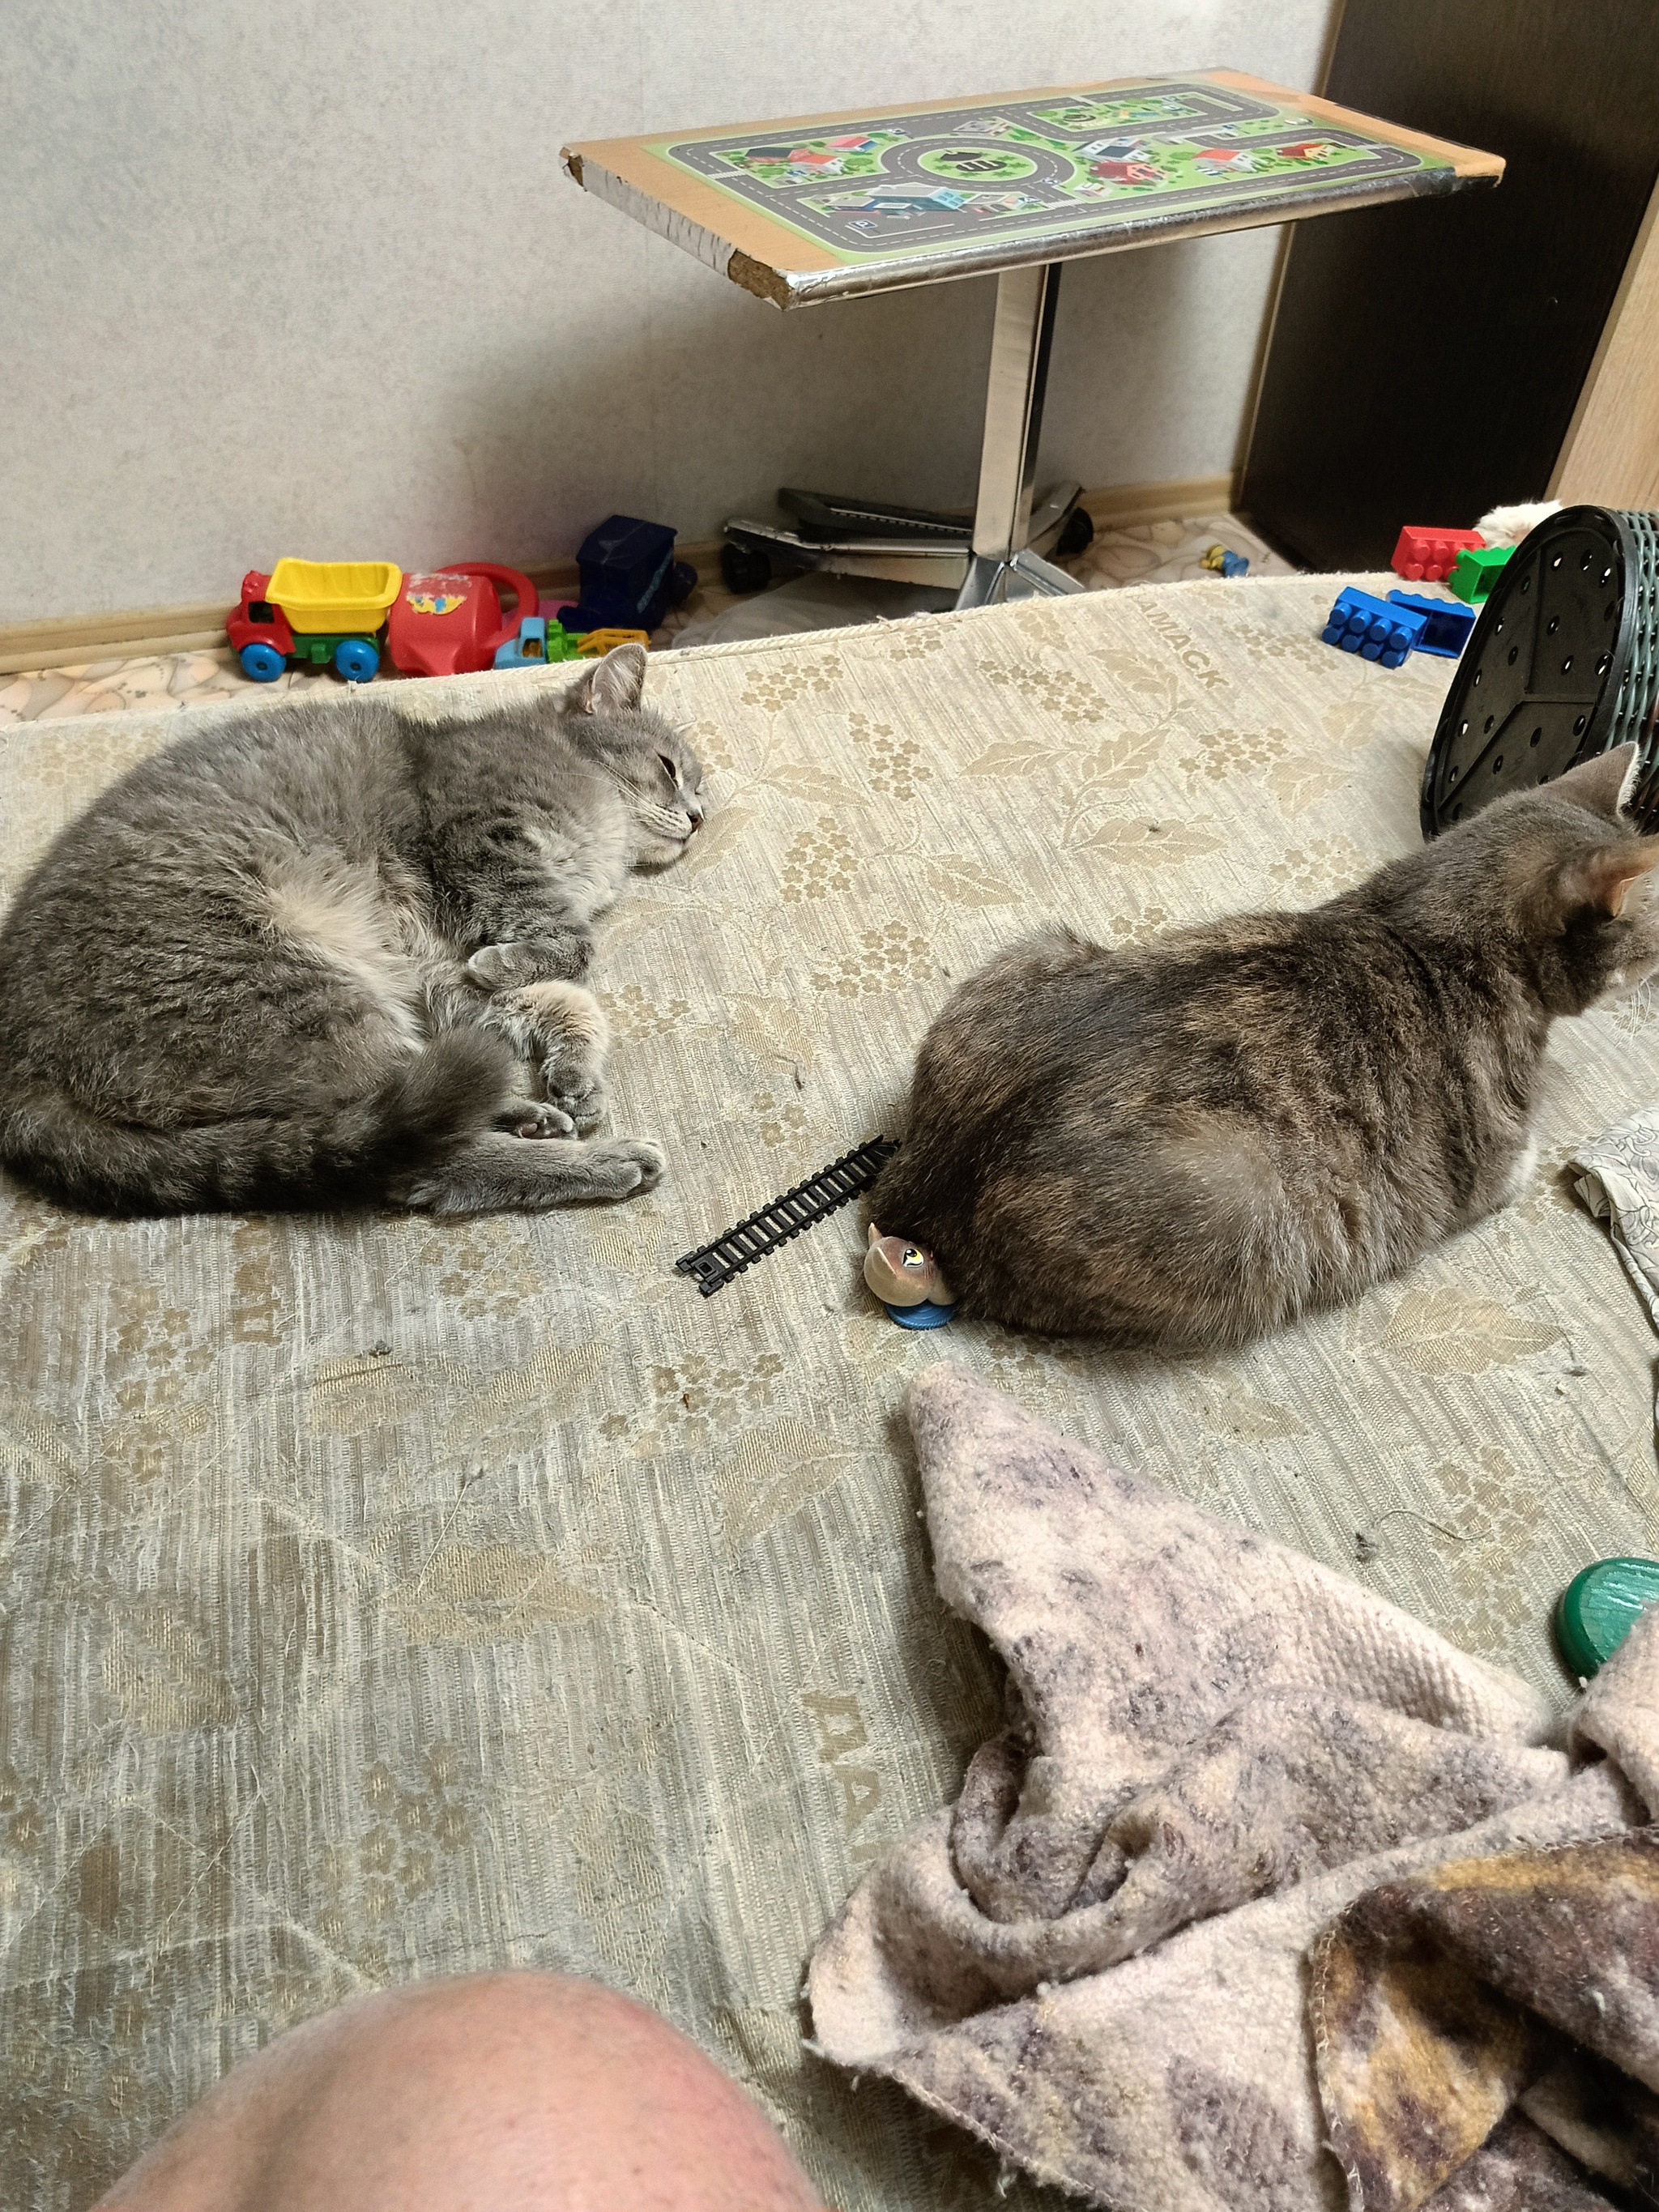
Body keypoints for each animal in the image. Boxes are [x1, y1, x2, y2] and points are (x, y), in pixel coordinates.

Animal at [0, 642, 705, 1217]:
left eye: (700, 788)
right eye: (671, 769)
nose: (701, 817)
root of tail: (20, 1069)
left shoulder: (431, 967)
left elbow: (565, 1000)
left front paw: (575, 1070)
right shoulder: (485, 842)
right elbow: (572, 950)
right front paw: (517, 970)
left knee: (411, 1099)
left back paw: (529, 1110)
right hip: (303, 991)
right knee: (418, 1153)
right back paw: (598, 1158)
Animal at [868, 744, 1659, 1347]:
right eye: (1653, 941)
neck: (1423, 920)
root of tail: (919, 1189)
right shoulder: (1497, 1162)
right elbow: (1523, 1156)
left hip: (1027, 951)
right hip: (1244, 1211)